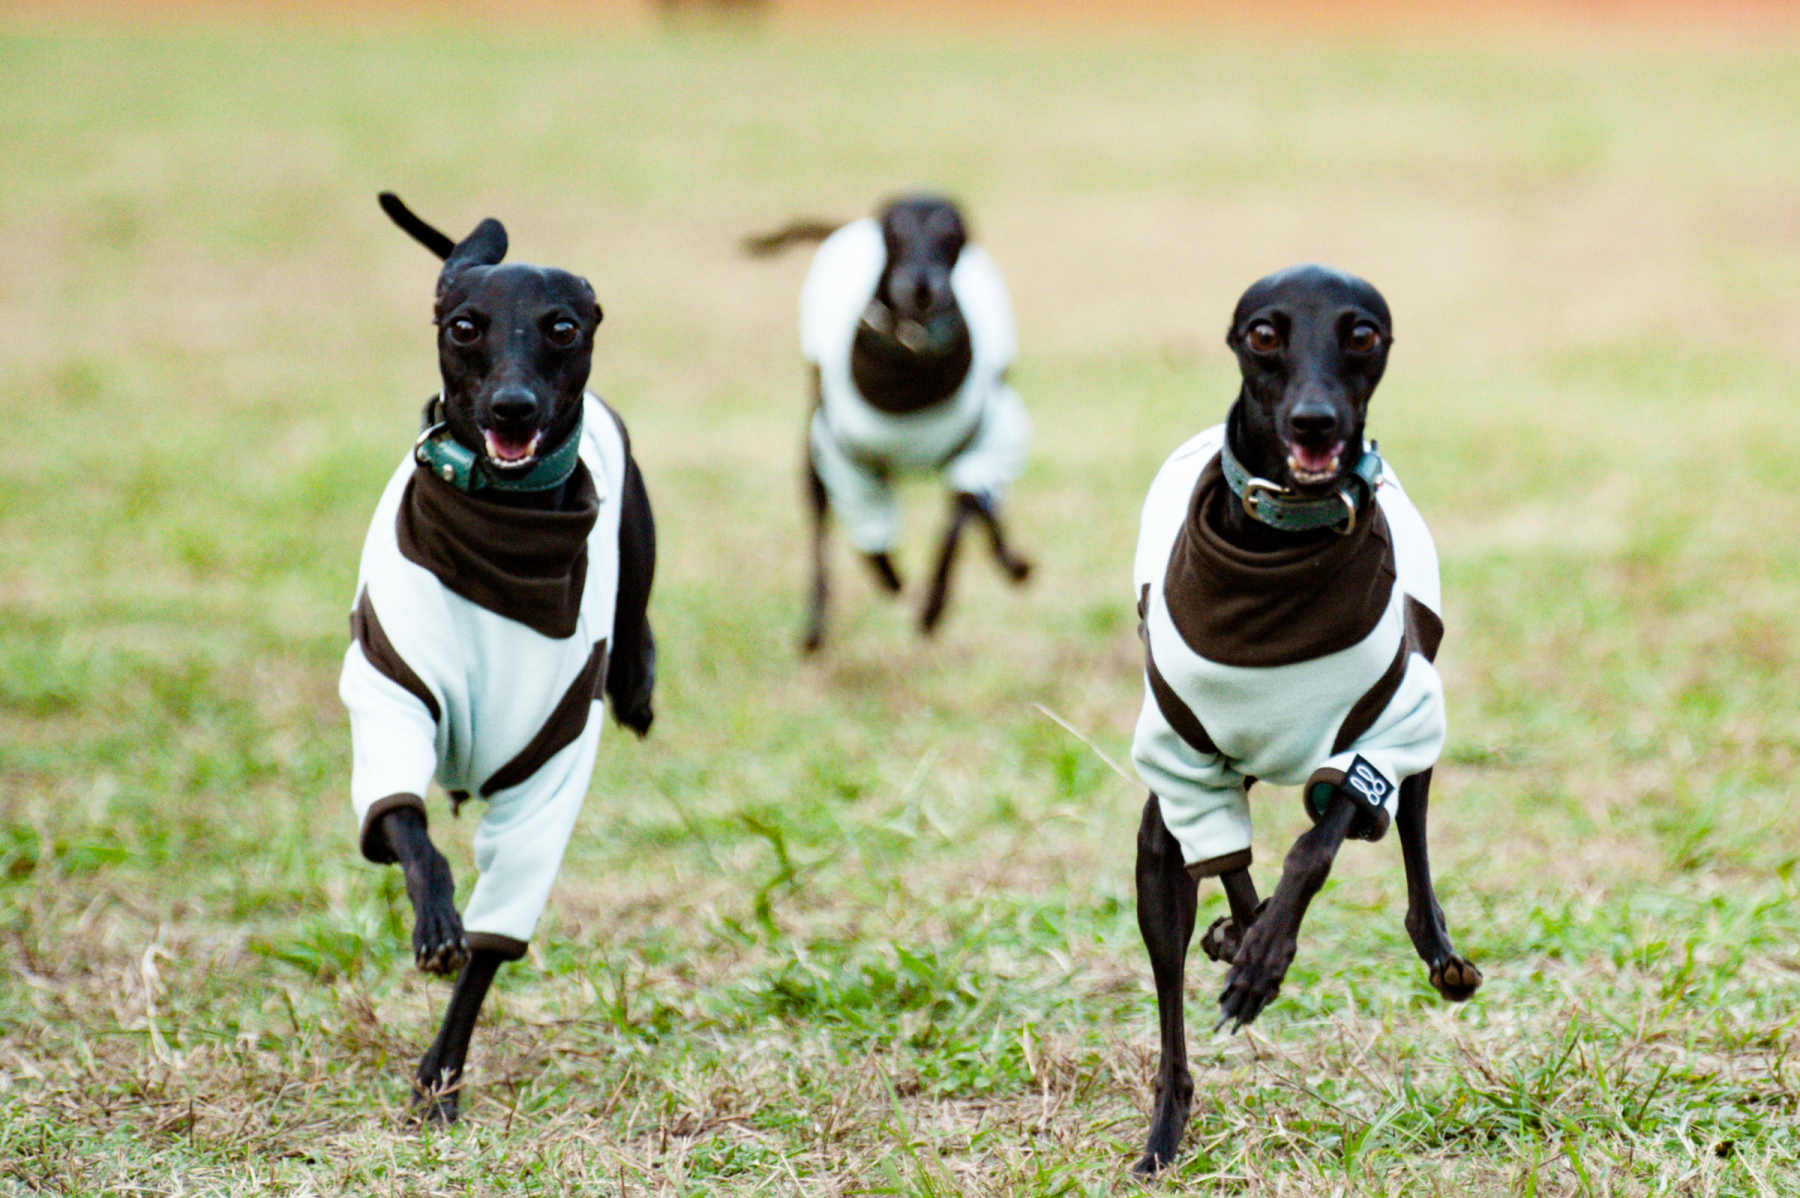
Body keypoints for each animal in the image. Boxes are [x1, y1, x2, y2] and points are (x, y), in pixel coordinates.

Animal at [340, 193, 656, 1122]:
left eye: (561, 326)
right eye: (465, 326)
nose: (513, 407)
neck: (503, 532)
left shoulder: (550, 768)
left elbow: (489, 952)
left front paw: (440, 1075)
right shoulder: (391, 694)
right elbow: (409, 833)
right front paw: (436, 921)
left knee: (637, 619)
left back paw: (640, 681)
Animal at [745, 195, 1033, 651]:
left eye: (952, 233)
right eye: (892, 231)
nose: (921, 287)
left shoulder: (984, 447)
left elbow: (957, 522)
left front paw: (932, 607)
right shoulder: (845, 463)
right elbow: (870, 543)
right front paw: (893, 581)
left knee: (985, 512)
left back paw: (1008, 561)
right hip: (814, 452)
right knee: (821, 535)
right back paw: (817, 624)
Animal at [1127, 265, 1482, 1173]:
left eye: (1361, 334)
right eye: (1263, 333)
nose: (1315, 421)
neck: (1275, 560)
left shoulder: (1385, 732)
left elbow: (1316, 845)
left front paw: (1262, 962)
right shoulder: (1176, 780)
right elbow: (1177, 978)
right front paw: (1164, 1133)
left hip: (1417, 709)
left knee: (1407, 829)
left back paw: (1436, 951)